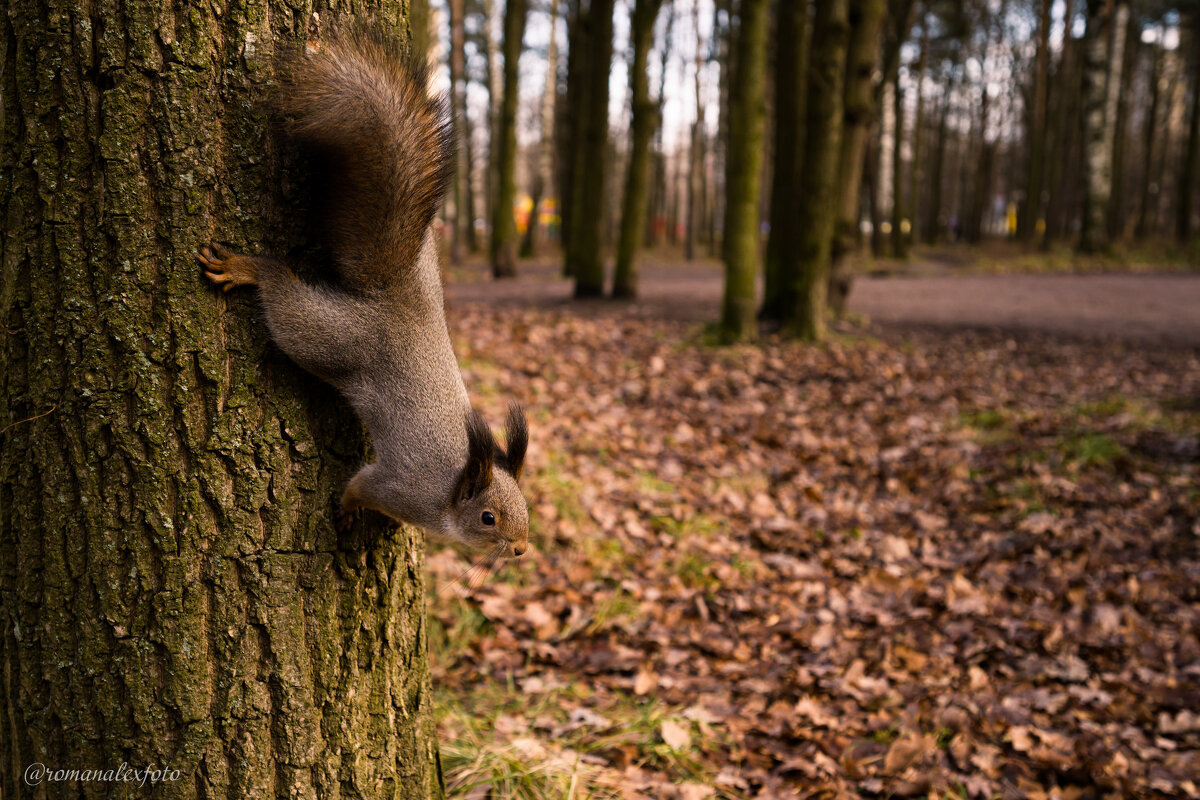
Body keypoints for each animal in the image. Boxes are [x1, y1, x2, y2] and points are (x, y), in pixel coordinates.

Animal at [198, 28, 530, 561]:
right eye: (488, 518)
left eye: (526, 507)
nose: (520, 548)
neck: (450, 494)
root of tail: (394, 293)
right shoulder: (399, 488)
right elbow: (359, 485)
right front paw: (349, 511)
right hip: (332, 338)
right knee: (284, 299)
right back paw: (252, 269)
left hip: (419, 262)